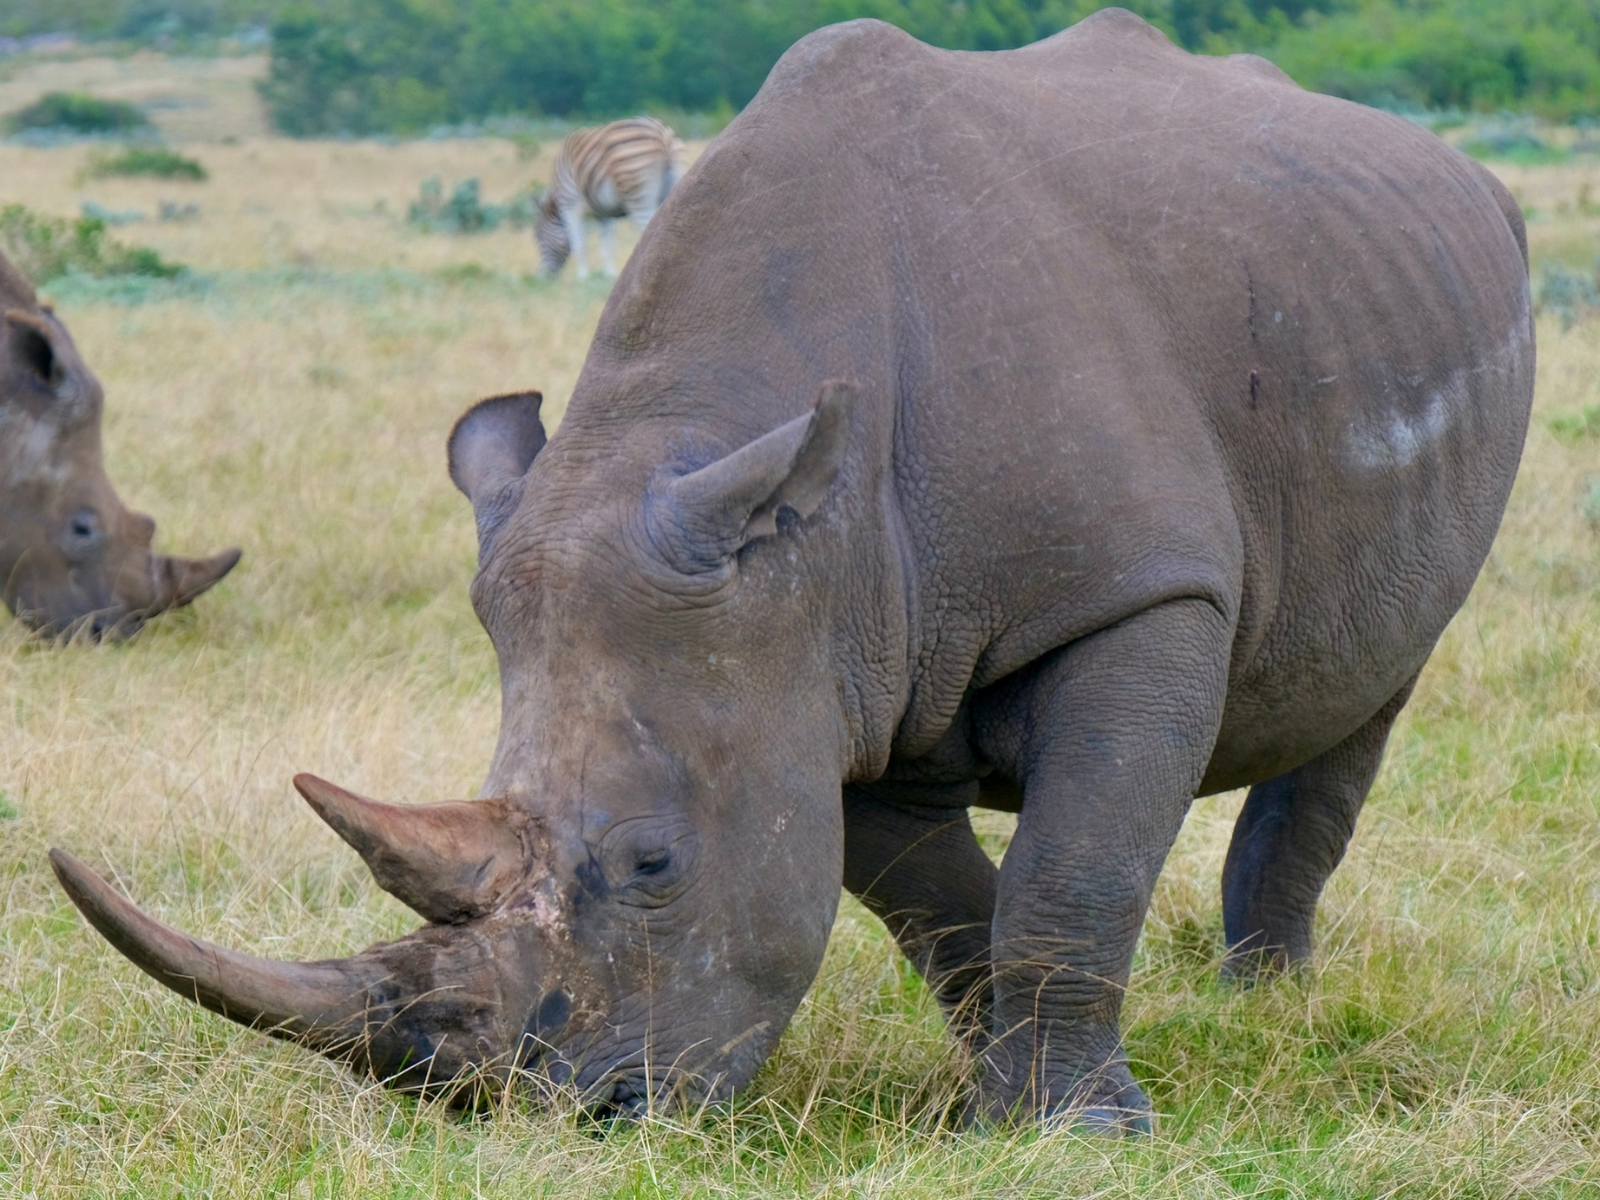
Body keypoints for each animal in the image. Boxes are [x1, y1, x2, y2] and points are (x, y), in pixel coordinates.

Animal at [51, 10, 1532, 1131]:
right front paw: (990, 1098)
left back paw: (1268, 1010)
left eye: (651, 862)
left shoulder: (1132, 595)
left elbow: (1074, 871)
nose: (576, 1116)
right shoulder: (820, 665)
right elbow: (943, 908)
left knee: (1369, 691)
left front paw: (1076, 1130)